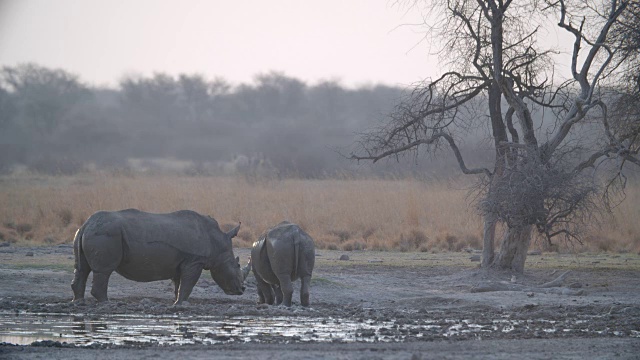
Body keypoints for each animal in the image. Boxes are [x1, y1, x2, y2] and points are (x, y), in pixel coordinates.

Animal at [72, 210, 248, 306]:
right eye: (237, 266)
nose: (242, 290)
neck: (217, 243)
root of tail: (86, 224)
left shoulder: (182, 262)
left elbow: (178, 284)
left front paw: (176, 302)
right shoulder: (195, 260)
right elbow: (188, 284)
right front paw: (180, 304)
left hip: (90, 232)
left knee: (82, 269)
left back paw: (78, 302)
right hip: (106, 233)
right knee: (103, 271)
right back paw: (107, 303)